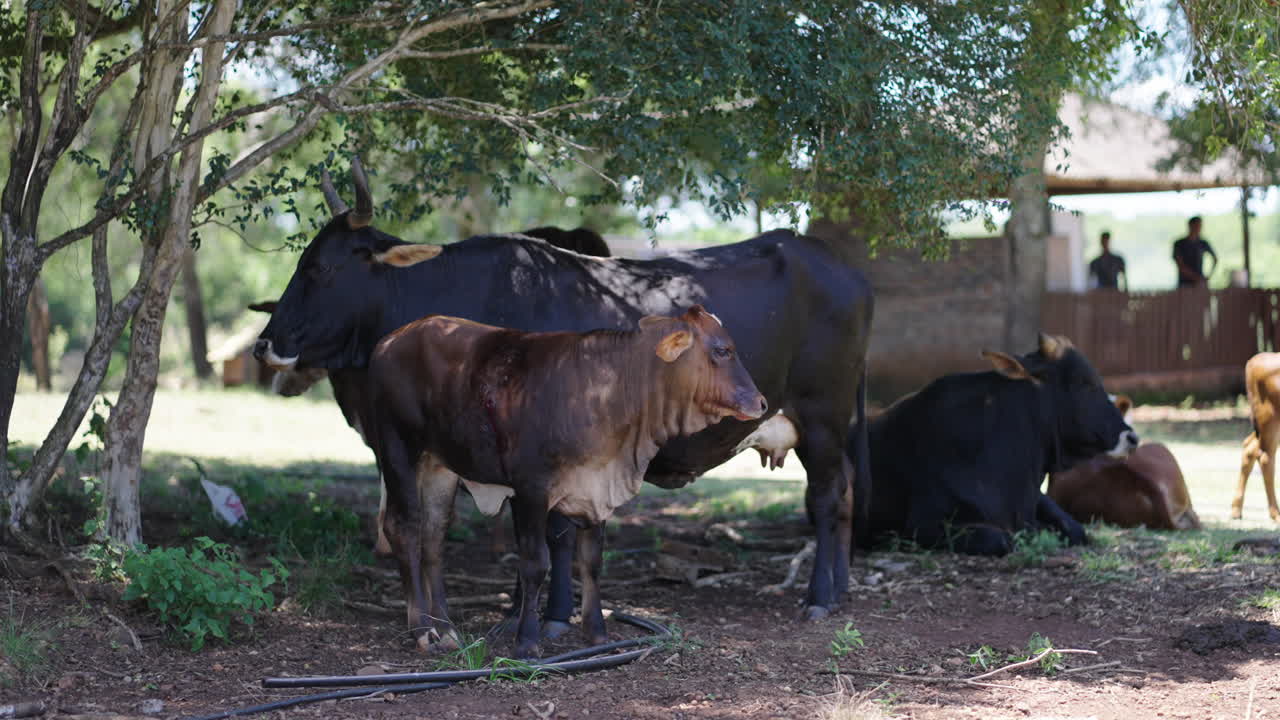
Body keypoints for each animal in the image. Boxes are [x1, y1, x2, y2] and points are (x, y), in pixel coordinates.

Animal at [367, 306, 765, 657]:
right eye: (722, 350)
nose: (761, 403)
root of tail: (391, 340)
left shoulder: (596, 488)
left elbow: (590, 561)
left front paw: (598, 635)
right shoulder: (530, 488)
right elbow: (535, 564)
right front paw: (527, 643)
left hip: (439, 466)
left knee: (434, 536)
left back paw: (448, 629)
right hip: (397, 447)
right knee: (404, 528)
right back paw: (424, 632)